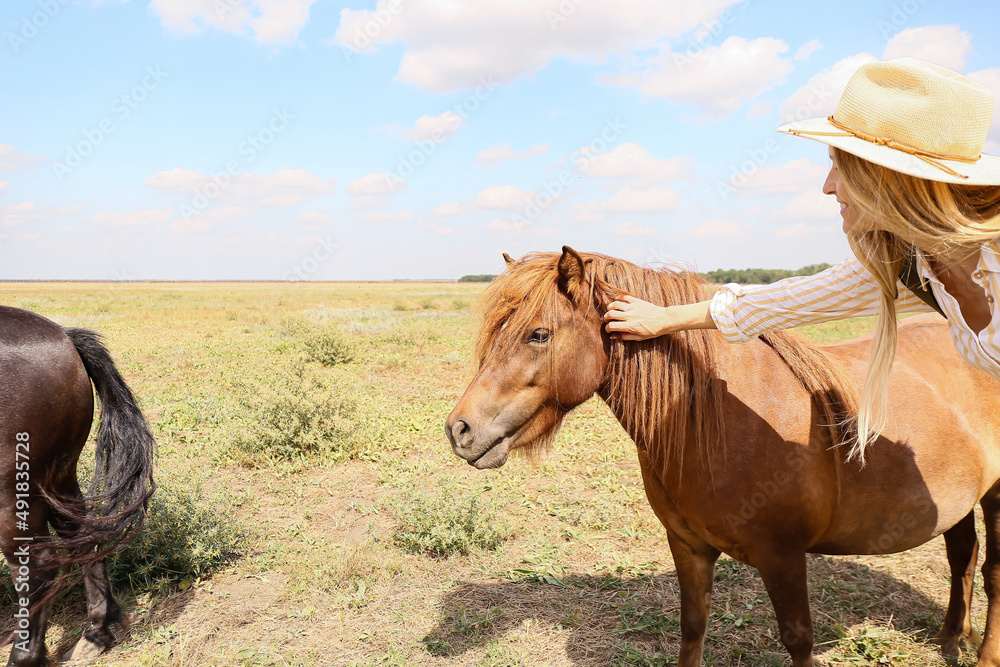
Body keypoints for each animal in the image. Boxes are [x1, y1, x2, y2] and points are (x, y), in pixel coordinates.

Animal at [0, 308, 154, 667]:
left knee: (38, 567)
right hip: (59, 477)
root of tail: (65, 337)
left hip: (13, 490)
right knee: (82, 537)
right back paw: (96, 632)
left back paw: (24, 655)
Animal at [448, 248, 1000, 667]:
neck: (711, 423)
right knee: (962, 556)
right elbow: (693, 627)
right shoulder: (688, 546)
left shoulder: (783, 557)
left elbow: (798, 640)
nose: (460, 429)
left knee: (990, 573)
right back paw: (950, 639)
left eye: (538, 334)